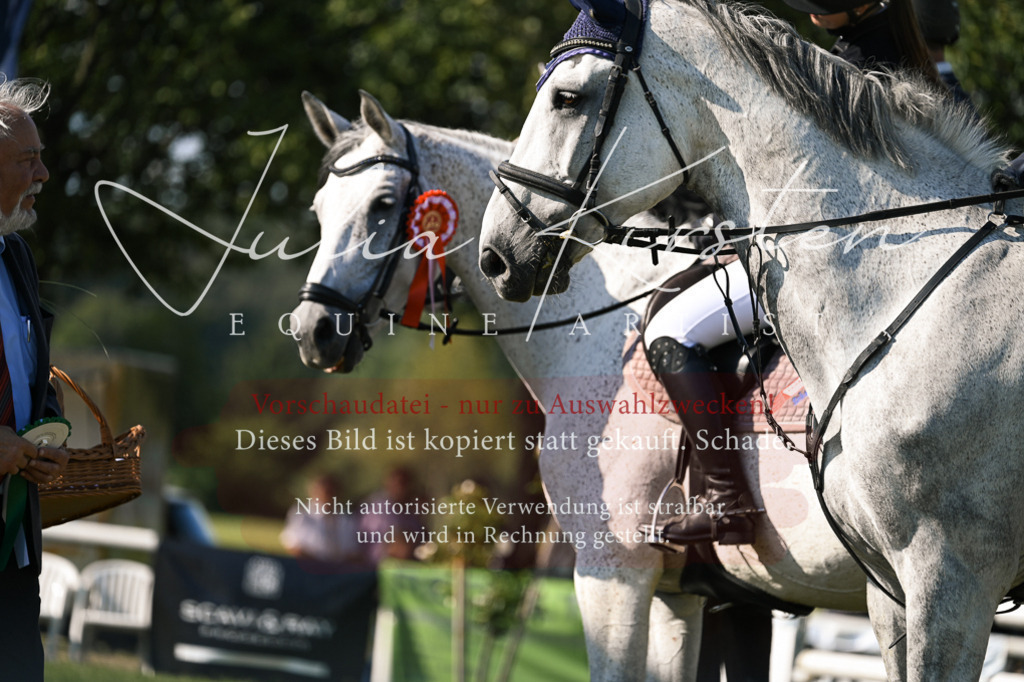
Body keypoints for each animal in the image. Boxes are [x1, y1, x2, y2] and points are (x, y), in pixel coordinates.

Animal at [291, 89, 865, 682]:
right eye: (320, 208)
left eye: (382, 204)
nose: (313, 330)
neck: (605, 329)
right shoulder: (682, 596)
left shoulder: (612, 573)